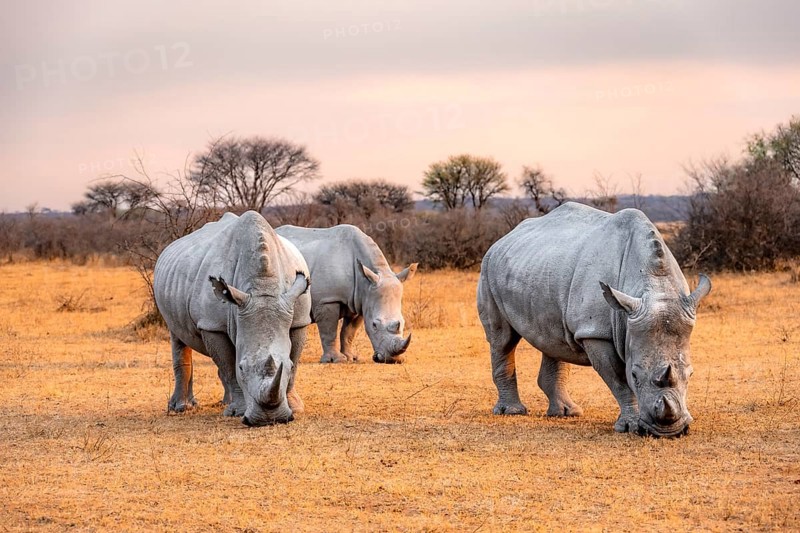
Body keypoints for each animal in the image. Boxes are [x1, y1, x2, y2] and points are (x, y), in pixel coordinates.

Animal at [154, 211, 311, 426]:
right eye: (242, 368)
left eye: (288, 366)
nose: (269, 419)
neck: (264, 288)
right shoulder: (212, 325)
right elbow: (228, 366)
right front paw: (237, 412)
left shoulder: (298, 318)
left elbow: (294, 359)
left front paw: (294, 407)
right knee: (178, 336)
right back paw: (182, 408)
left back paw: (220, 403)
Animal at [276, 224, 417, 364]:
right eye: (374, 325)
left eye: (403, 322)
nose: (393, 360)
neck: (365, 283)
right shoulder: (327, 299)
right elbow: (329, 330)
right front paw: (335, 360)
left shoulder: (360, 302)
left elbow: (349, 332)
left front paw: (351, 357)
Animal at [477, 202, 711, 437]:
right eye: (635, 375)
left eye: (691, 375)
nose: (669, 432)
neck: (653, 284)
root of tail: (503, 239)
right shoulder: (595, 332)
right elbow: (618, 379)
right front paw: (630, 426)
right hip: (488, 269)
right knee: (502, 340)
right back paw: (512, 411)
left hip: (540, 268)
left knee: (552, 339)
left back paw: (566, 413)